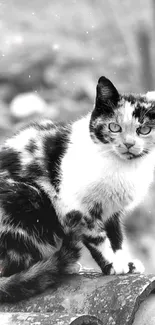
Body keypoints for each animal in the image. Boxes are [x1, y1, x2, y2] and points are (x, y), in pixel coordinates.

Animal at [0, 75, 154, 302]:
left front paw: (125, 262)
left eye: (144, 130)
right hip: (27, 198)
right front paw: (112, 266)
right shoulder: (78, 207)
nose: (128, 144)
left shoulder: (112, 211)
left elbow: (117, 237)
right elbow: (98, 238)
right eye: (114, 127)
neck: (123, 168)